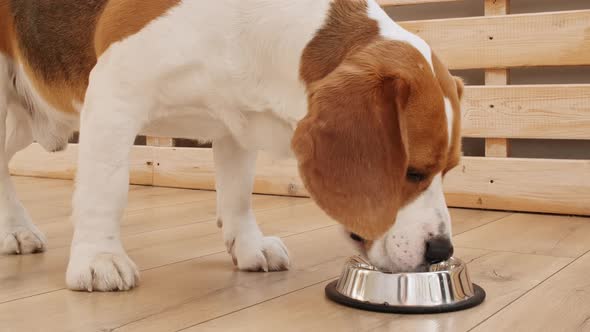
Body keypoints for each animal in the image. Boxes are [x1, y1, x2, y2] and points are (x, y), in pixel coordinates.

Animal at [0, 0, 464, 290]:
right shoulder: (115, 90)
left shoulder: (237, 120)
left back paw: (16, 229)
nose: (441, 250)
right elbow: (106, 191)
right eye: (413, 172)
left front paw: (248, 246)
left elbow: (238, 195)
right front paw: (98, 259)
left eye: (450, 170)